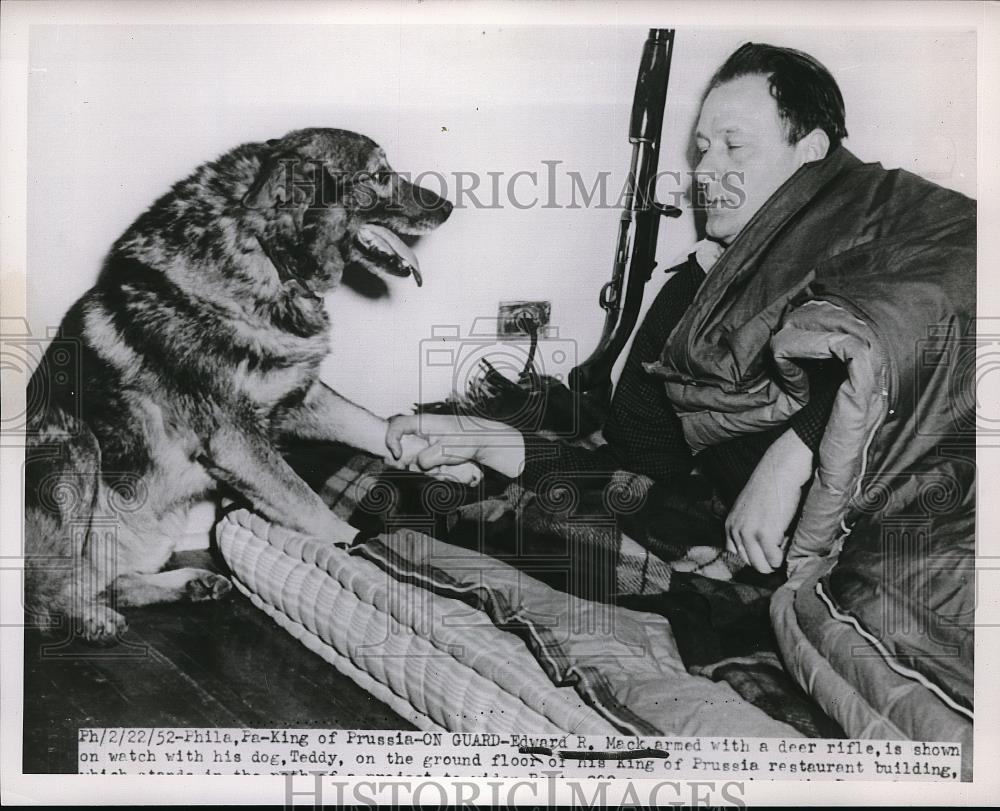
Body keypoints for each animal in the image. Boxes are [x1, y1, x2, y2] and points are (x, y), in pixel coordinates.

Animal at [24, 130, 454, 644]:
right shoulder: (238, 440)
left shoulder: (301, 397)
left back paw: (188, 583)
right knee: (44, 599)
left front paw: (450, 462)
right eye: (379, 175)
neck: (266, 257)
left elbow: (373, 425)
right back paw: (90, 618)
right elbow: (309, 505)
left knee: (109, 582)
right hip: (76, 447)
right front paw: (356, 549)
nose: (449, 206)